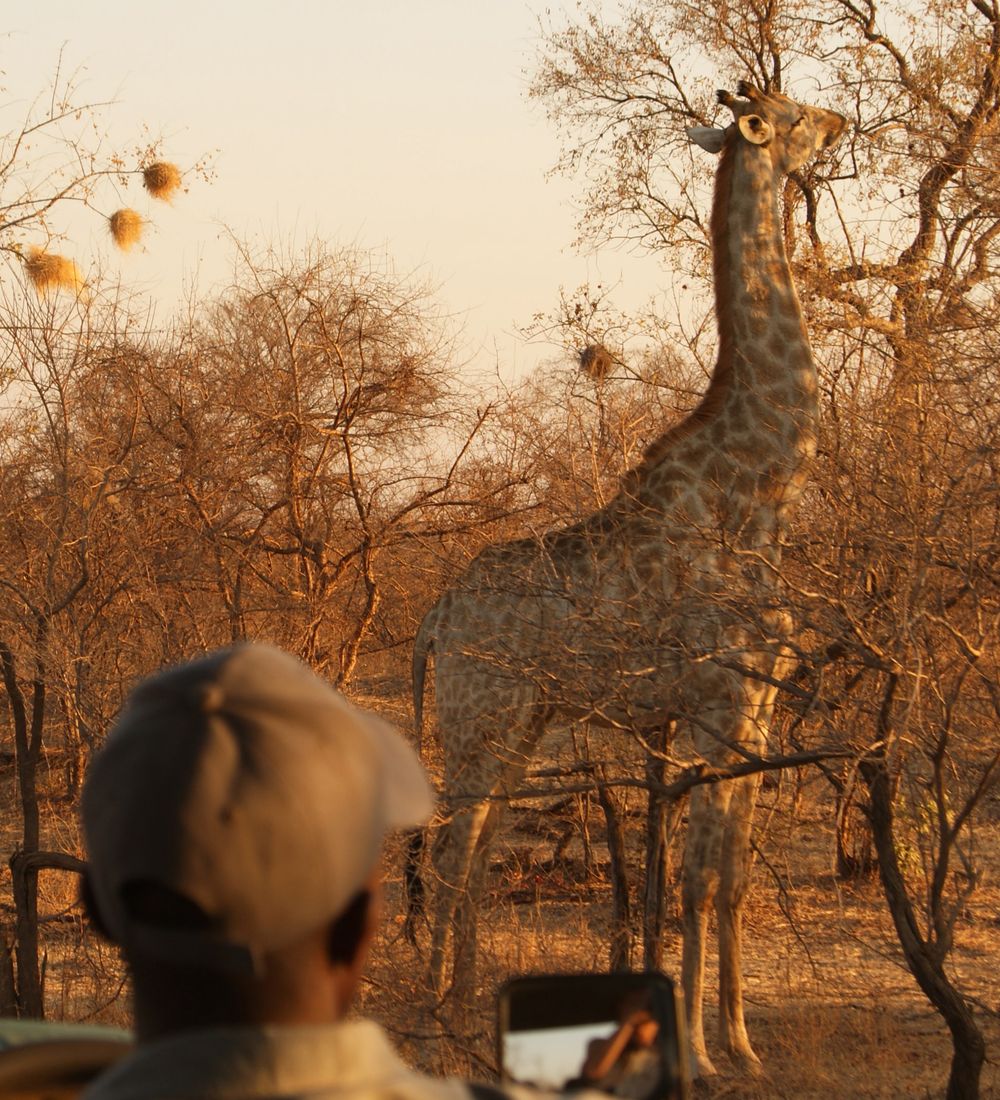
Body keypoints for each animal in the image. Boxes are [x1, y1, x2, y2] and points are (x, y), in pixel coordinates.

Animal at [409, 83, 844, 1073]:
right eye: (793, 113)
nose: (841, 123)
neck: (760, 492)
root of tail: (436, 614)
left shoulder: (757, 707)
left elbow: (731, 877)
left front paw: (744, 1044)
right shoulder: (716, 704)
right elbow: (696, 880)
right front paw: (705, 1053)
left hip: (524, 723)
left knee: (477, 854)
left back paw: (468, 1008)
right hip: (481, 717)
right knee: (452, 853)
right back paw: (440, 1018)